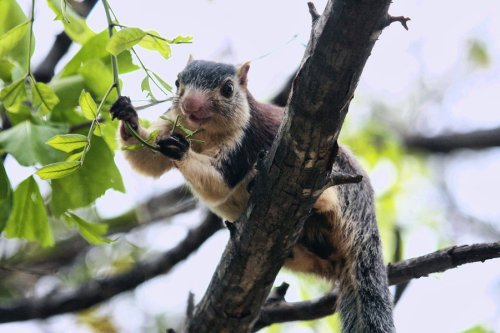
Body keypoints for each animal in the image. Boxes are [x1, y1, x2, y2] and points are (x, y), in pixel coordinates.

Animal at [109, 58, 394, 330]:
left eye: (228, 89)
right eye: (178, 81)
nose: (190, 105)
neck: (205, 135)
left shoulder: (244, 141)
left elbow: (219, 181)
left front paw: (181, 151)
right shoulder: (171, 123)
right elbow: (147, 160)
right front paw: (127, 115)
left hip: (340, 183)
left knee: (327, 196)